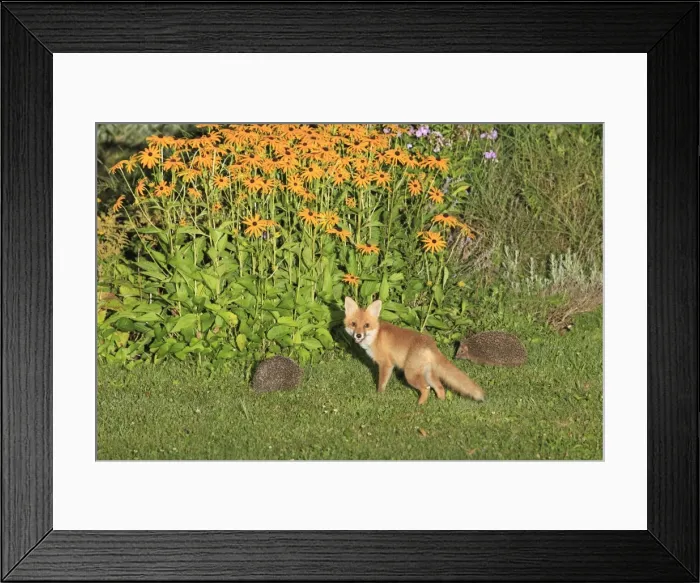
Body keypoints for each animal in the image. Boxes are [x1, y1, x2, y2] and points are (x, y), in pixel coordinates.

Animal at [344, 297, 485, 405]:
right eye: (353, 324)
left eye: (366, 325)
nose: (358, 335)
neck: (376, 336)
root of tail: (430, 342)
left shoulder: (386, 364)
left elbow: (381, 384)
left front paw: (379, 396)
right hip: (427, 373)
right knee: (439, 387)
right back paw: (440, 403)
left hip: (410, 375)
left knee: (426, 388)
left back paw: (419, 406)